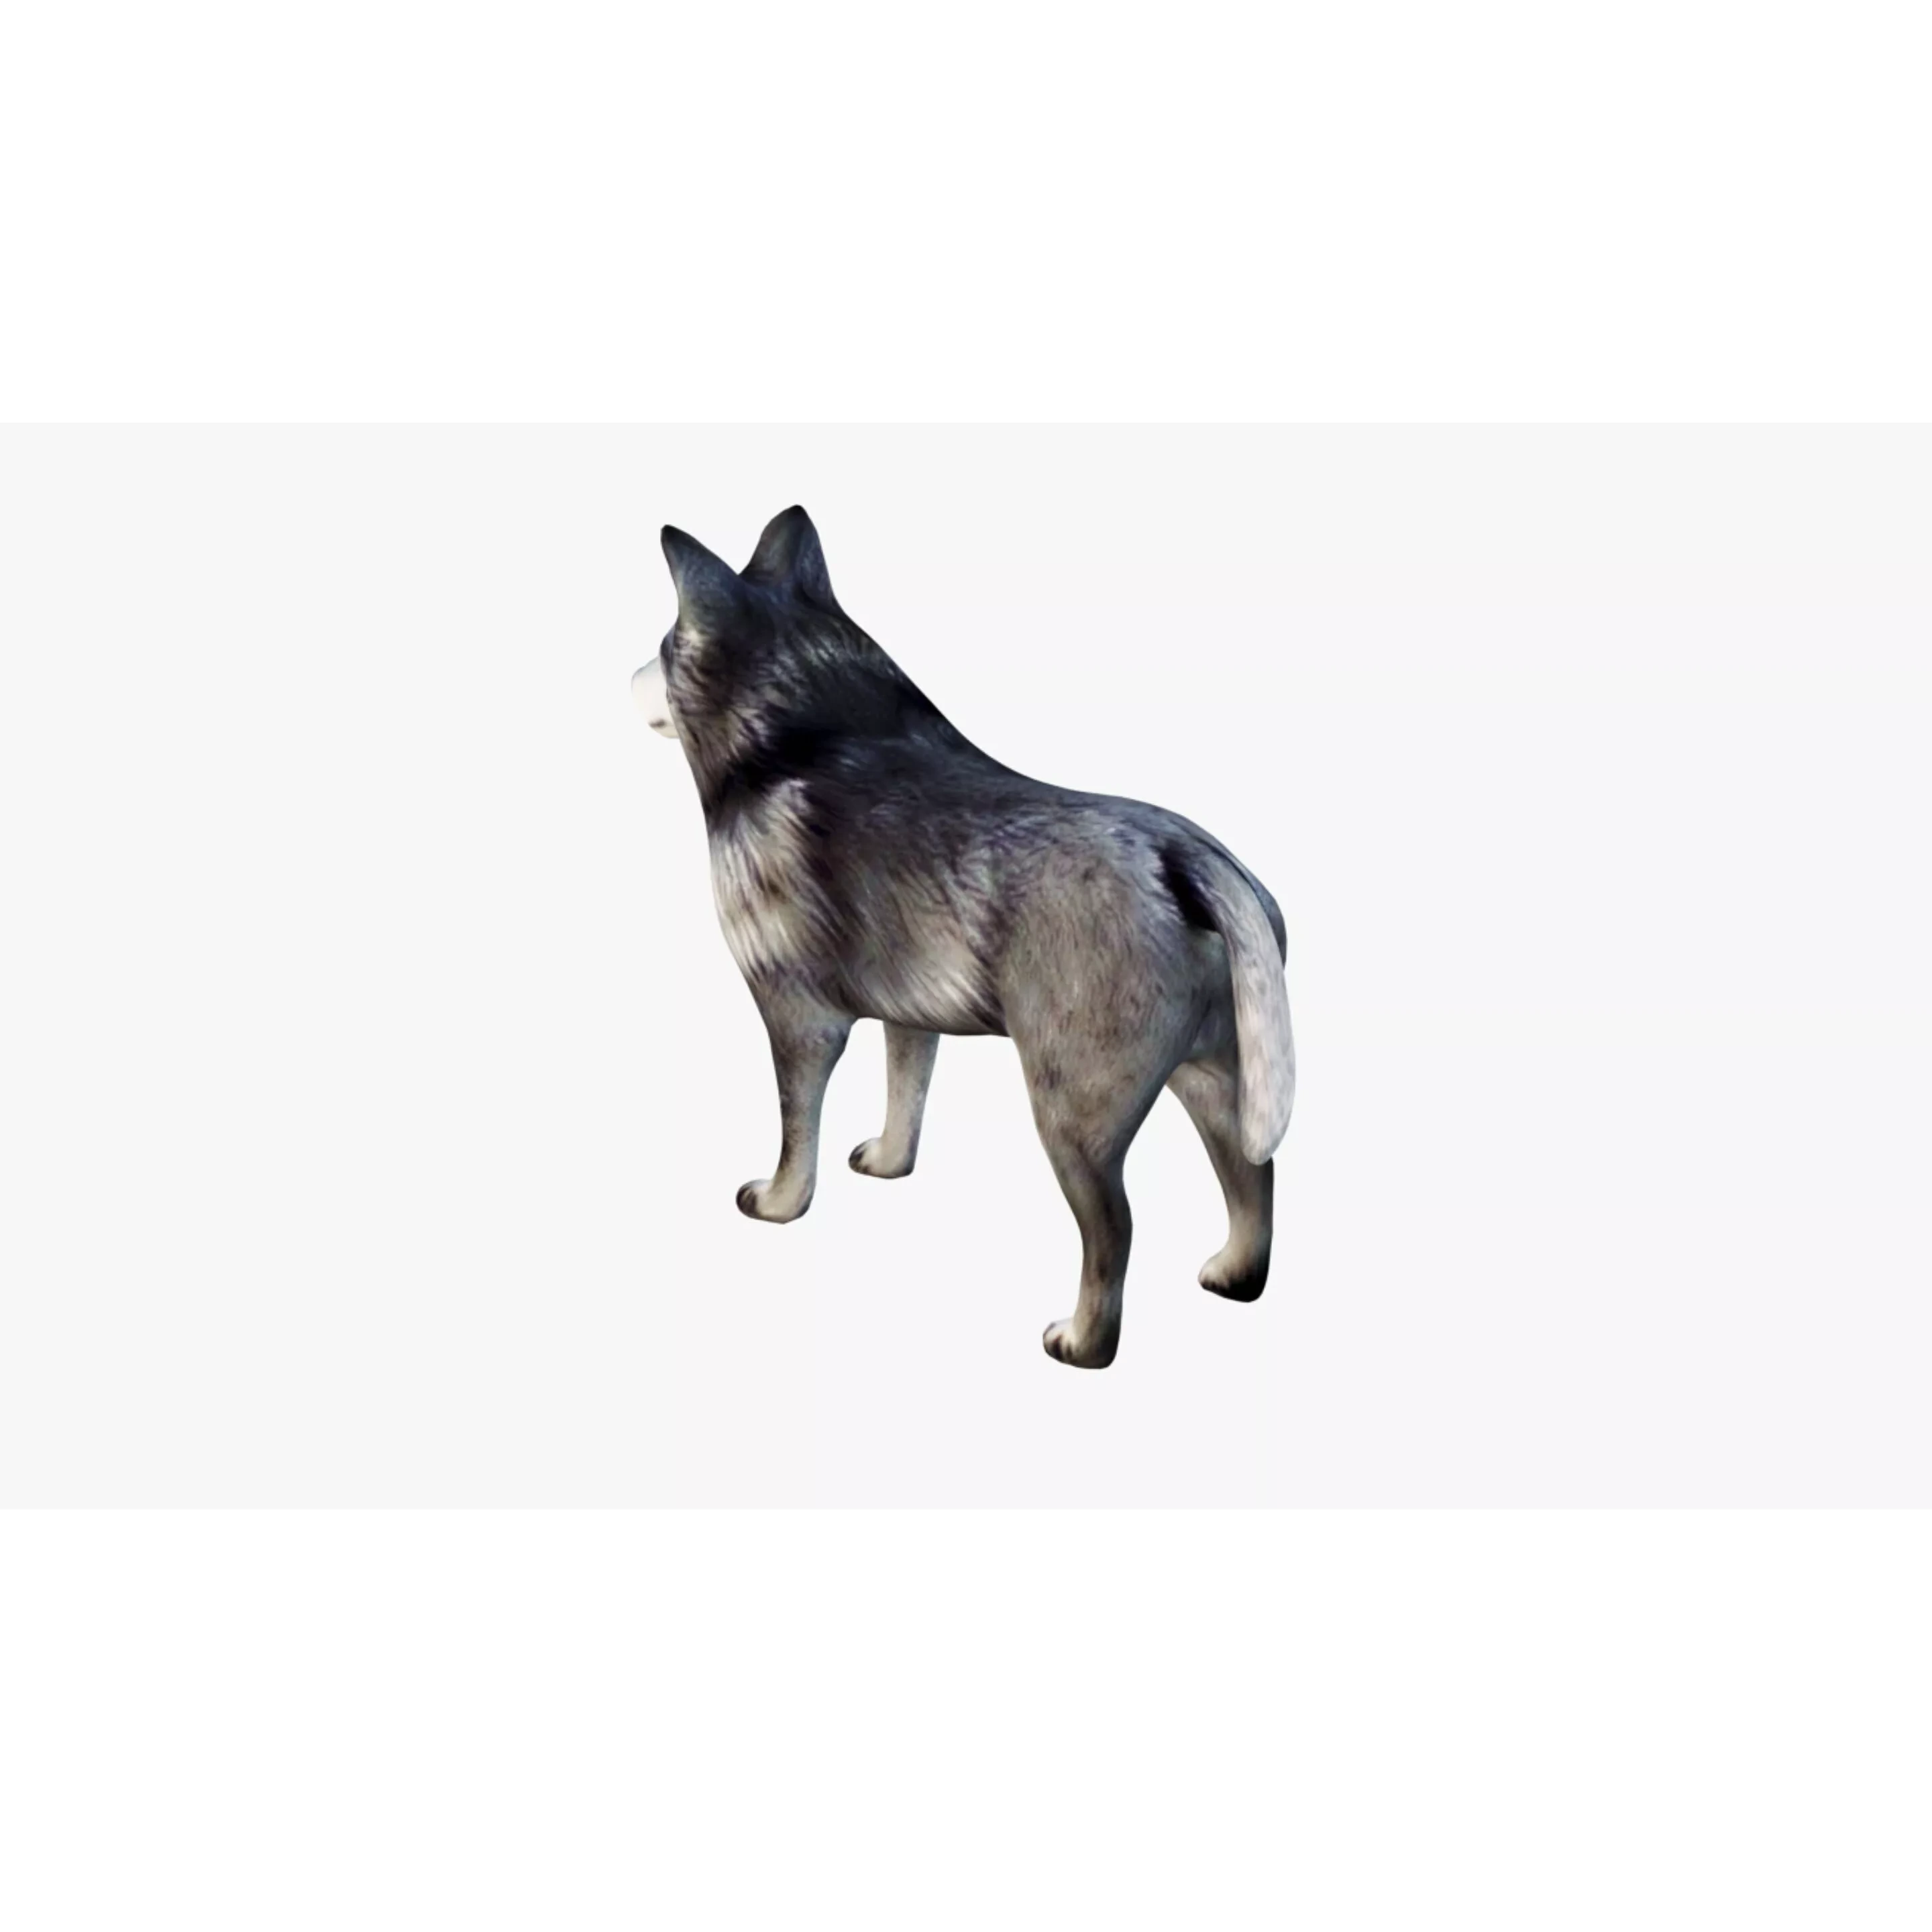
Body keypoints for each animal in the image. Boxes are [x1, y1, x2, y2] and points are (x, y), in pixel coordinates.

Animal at [633, 507, 1294, 1368]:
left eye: (662, 645)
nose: (626, 680)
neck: (804, 724)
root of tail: (1186, 858)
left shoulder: (797, 1019)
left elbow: (795, 1128)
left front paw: (780, 1203)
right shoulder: (911, 1017)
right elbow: (905, 1096)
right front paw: (889, 1164)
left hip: (1072, 1111)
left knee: (1115, 1228)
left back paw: (1083, 1342)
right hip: (1214, 1077)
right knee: (1254, 1176)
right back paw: (1236, 1275)